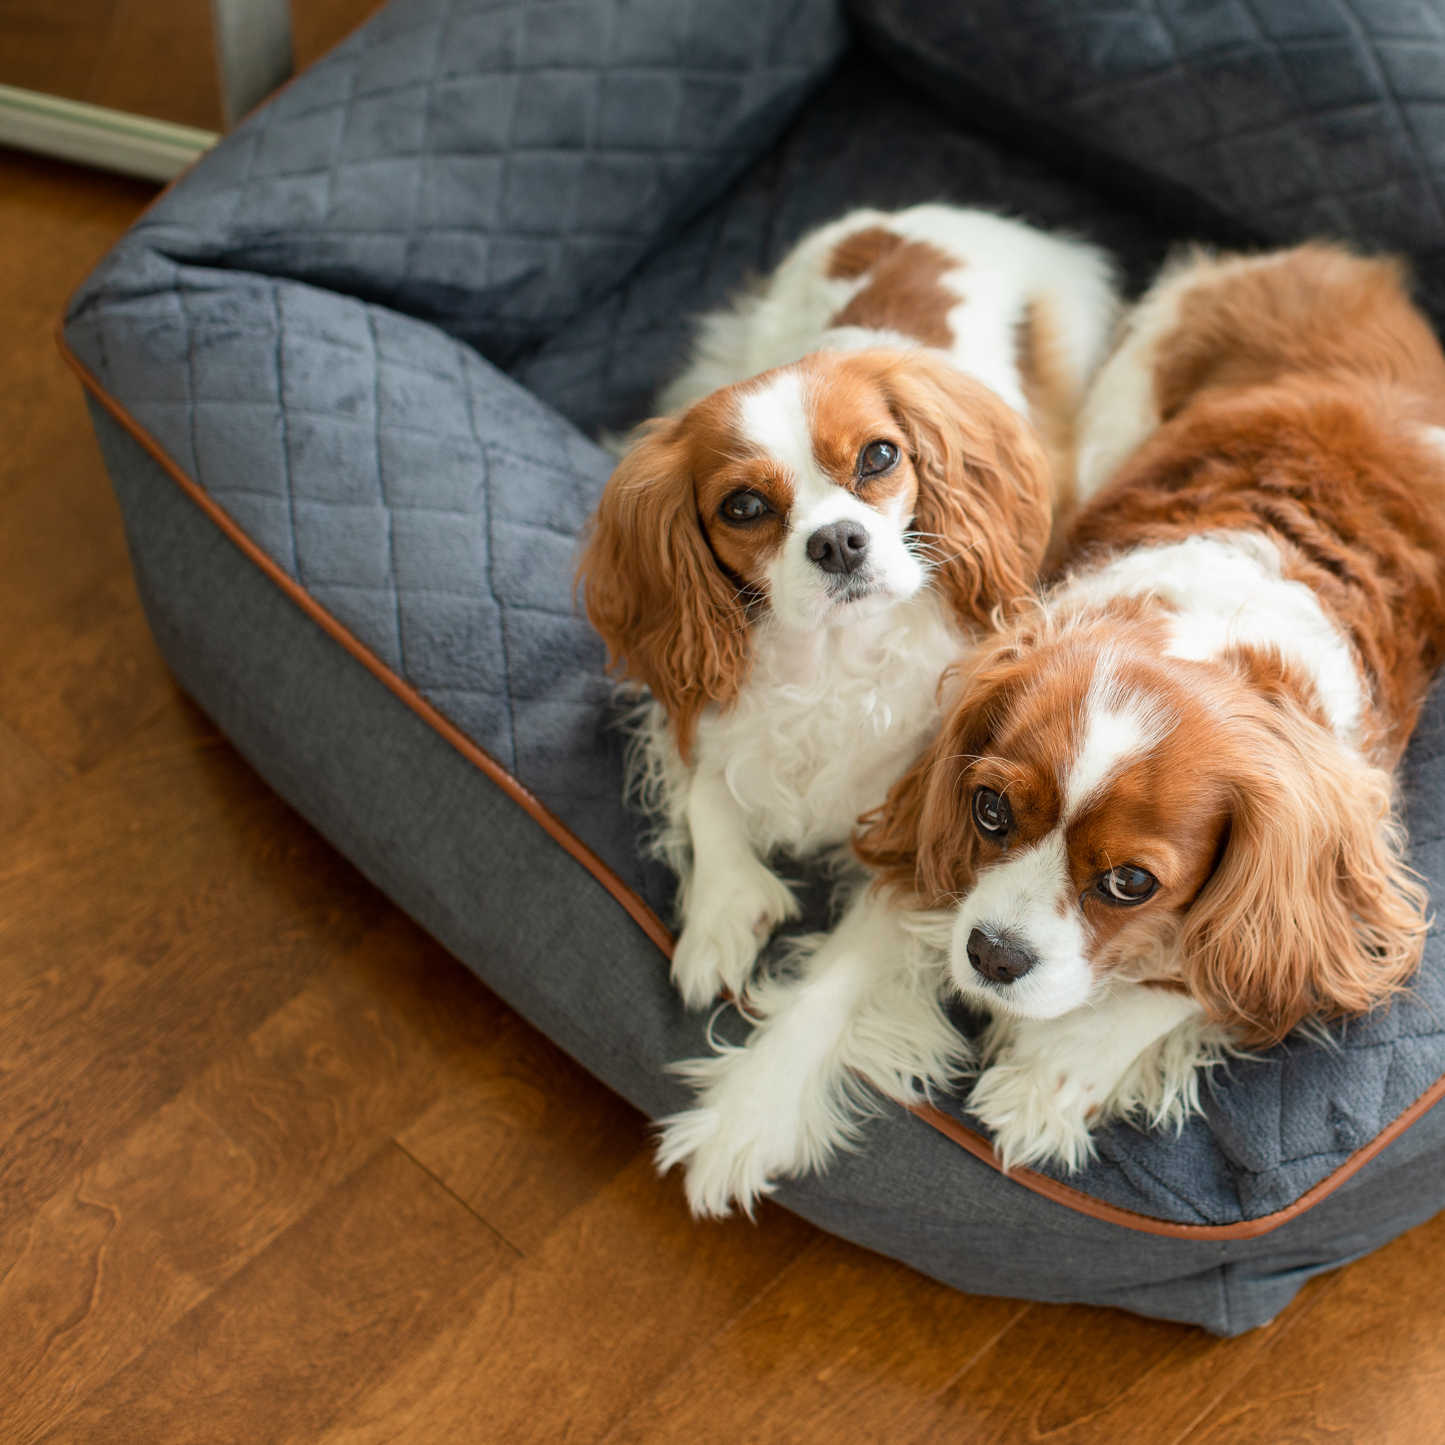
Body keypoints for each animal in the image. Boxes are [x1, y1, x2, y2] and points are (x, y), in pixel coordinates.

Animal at [575, 209, 1115, 1011]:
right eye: (743, 506)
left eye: (880, 457)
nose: (837, 540)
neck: (832, 656)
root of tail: (919, 218)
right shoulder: (707, 707)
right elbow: (707, 785)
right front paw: (721, 910)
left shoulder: (911, 831)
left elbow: (827, 989)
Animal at [661, 242, 1445, 1213]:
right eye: (989, 811)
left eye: (1131, 884)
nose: (992, 956)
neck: (1197, 637)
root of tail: (1341, 265)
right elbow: (831, 984)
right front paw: (749, 1112)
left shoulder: (1331, 870)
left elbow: (1228, 968)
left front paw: (1057, 1070)